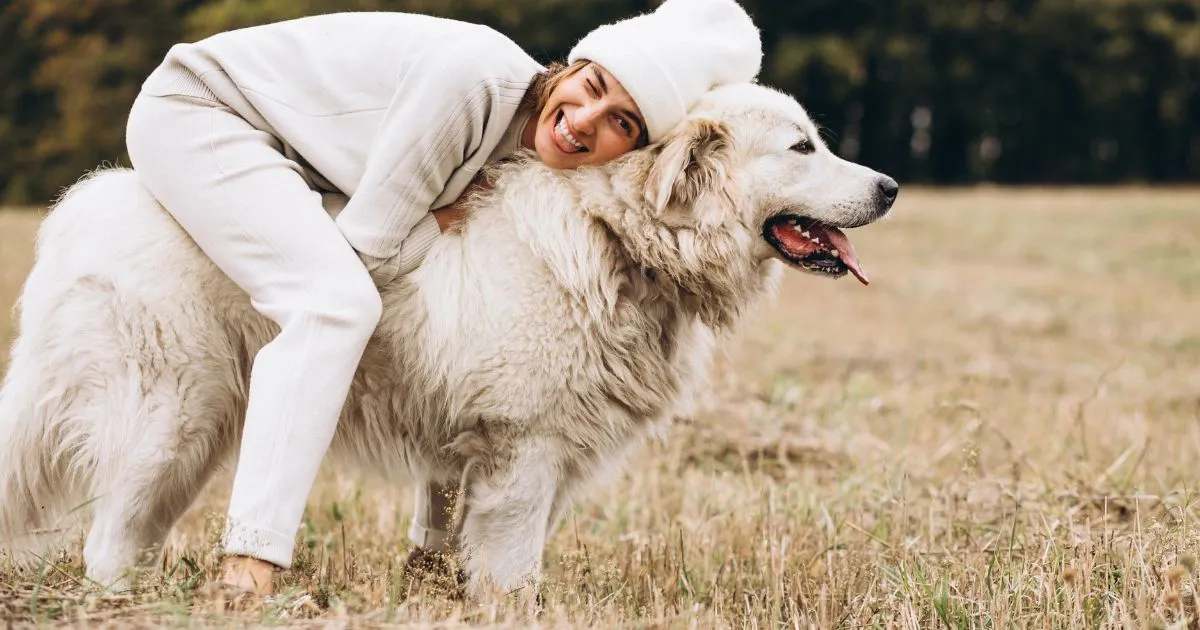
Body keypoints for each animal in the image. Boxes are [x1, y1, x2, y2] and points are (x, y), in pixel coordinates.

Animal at [0, 82, 897, 595]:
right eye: (802, 146)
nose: (889, 186)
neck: (616, 236)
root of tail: (82, 209)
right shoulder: (525, 452)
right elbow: (513, 570)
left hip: (196, 437)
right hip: (171, 419)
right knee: (105, 542)